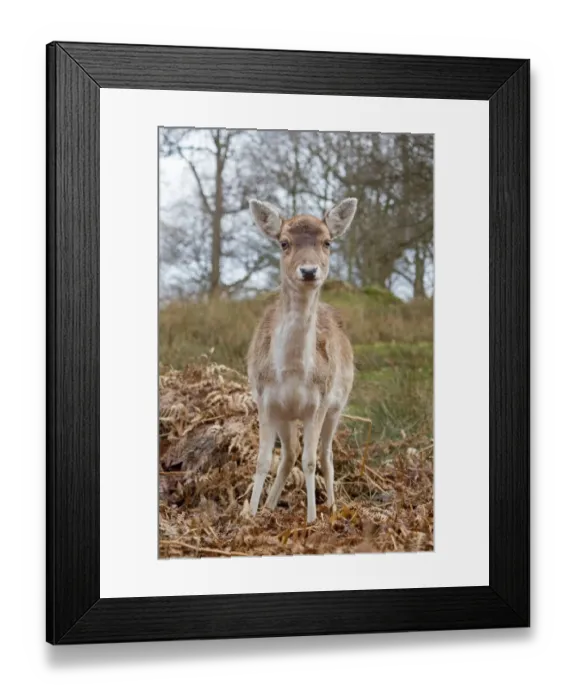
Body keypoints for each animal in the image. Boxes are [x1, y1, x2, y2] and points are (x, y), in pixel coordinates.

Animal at [246, 197, 358, 524]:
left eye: (327, 242)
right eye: (284, 242)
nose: (309, 271)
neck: (292, 371)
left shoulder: (318, 403)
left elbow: (310, 461)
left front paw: (311, 519)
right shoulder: (265, 400)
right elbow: (262, 460)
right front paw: (250, 516)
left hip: (338, 406)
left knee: (325, 455)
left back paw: (331, 506)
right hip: (286, 415)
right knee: (289, 453)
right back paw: (270, 505)